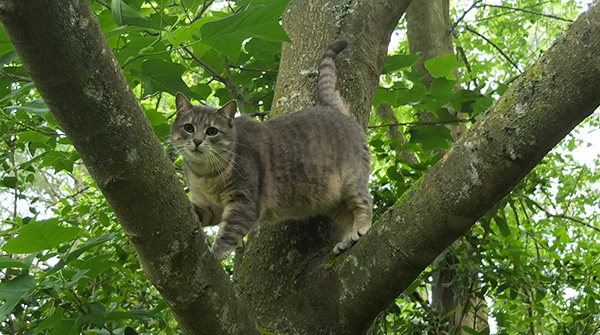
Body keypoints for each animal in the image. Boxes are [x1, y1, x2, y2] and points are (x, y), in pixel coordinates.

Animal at [169, 40, 372, 262]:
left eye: (212, 131)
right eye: (189, 128)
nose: (197, 141)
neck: (204, 174)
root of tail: (331, 108)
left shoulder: (244, 203)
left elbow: (228, 234)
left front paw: (216, 253)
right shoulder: (210, 206)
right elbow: (197, 212)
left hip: (352, 181)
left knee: (365, 204)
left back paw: (359, 229)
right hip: (332, 200)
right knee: (348, 215)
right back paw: (346, 241)